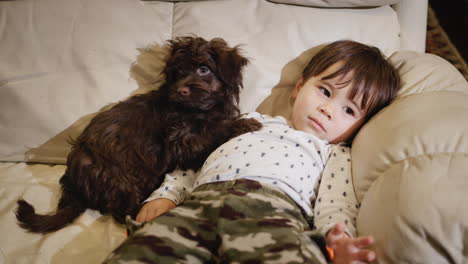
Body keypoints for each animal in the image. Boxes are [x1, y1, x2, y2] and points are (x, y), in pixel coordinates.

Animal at [15, 35, 264, 233]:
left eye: (204, 69)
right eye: (177, 73)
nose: (180, 90)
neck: (200, 109)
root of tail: (73, 181)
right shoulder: (181, 139)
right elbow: (211, 132)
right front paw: (244, 124)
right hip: (118, 178)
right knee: (122, 210)